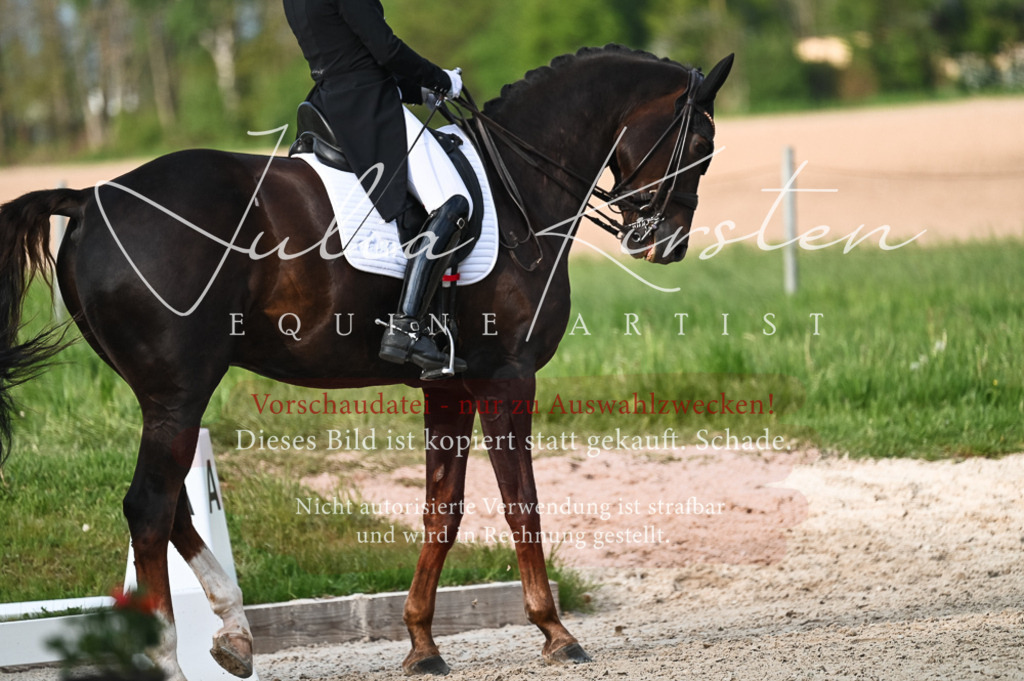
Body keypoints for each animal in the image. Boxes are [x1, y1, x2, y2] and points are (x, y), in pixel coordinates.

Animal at [0, 45, 732, 678]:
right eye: (700, 146)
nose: (666, 243)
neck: (519, 185)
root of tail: (90, 197)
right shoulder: (506, 376)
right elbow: (520, 504)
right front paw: (556, 632)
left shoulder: (449, 384)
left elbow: (444, 510)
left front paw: (422, 644)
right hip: (180, 392)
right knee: (150, 510)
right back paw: (170, 660)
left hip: (166, 395)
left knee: (171, 507)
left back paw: (235, 636)